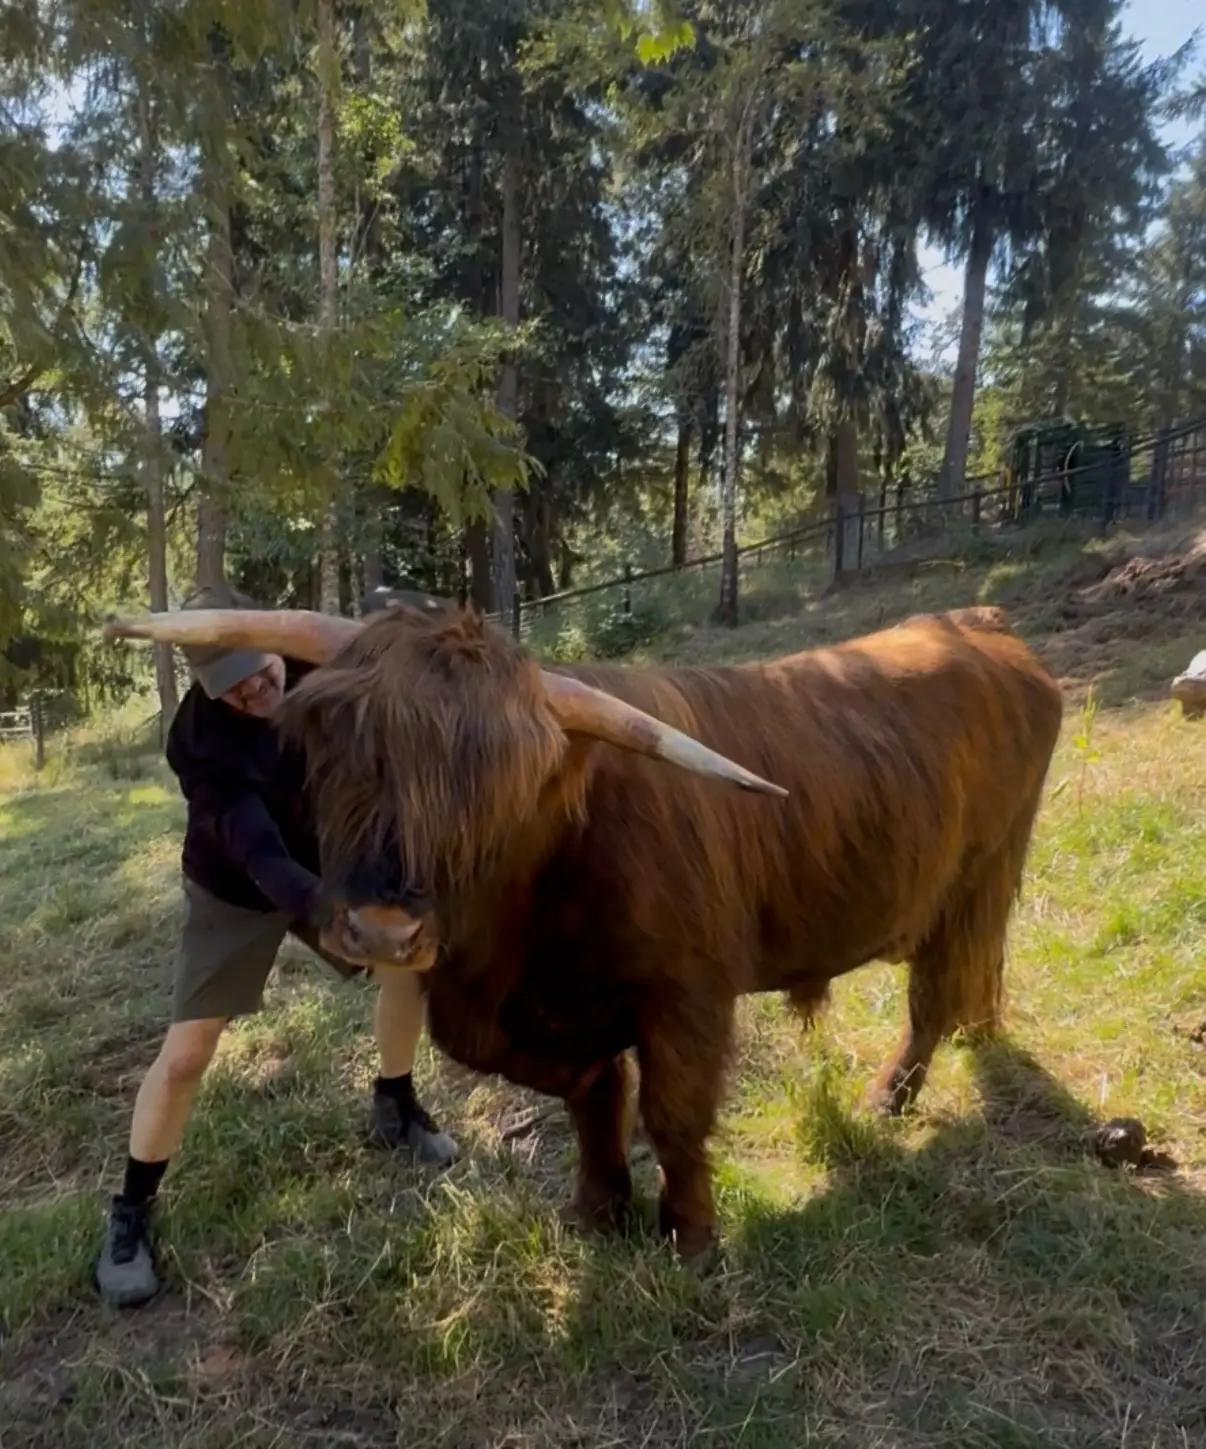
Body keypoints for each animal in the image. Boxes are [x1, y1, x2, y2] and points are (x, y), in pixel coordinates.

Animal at [102, 599, 1064, 1262]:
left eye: (499, 786)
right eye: (345, 752)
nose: (381, 928)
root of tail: (981, 624)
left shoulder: (690, 992)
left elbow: (674, 1114)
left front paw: (691, 1236)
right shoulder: (522, 1015)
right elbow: (590, 1093)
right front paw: (599, 1208)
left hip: (979, 877)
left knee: (938, 991)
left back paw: (890, 1096)